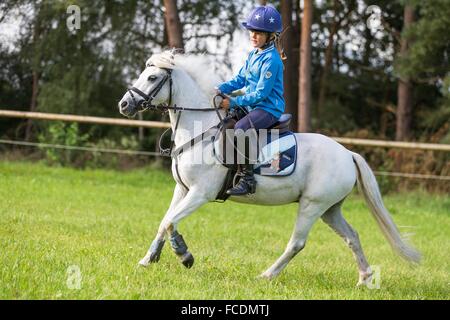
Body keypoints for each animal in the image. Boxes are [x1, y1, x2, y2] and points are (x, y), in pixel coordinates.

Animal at [118, 51, 420, 286]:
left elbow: (171, 222)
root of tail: (348, 154)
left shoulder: (200, 193)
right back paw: (364, 278)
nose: (124, 104)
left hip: (312, 205)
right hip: (330, 210)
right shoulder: (182, 189)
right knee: (352, 237)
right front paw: (148, 259)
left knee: (297, 243)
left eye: (153, 78)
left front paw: (185, 256)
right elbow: (164, 222)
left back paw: (266, 275)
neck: (200, 131)